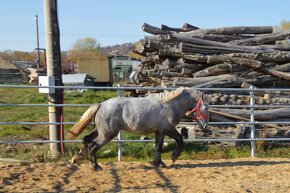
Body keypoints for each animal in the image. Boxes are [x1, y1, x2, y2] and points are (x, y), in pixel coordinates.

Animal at [68, 87, 208, 170]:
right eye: (206, 107)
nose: (204, 126)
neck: (169, 105)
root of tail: (101, 104)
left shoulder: (160, 131)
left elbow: (158, 147)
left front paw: (158, 163)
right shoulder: (168, 129)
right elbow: (179, 139)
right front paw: (174, 156)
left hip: (100, 131)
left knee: (87, 139)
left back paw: (77, 159)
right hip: (107, 134)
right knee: (93, 145)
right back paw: (95, 166)